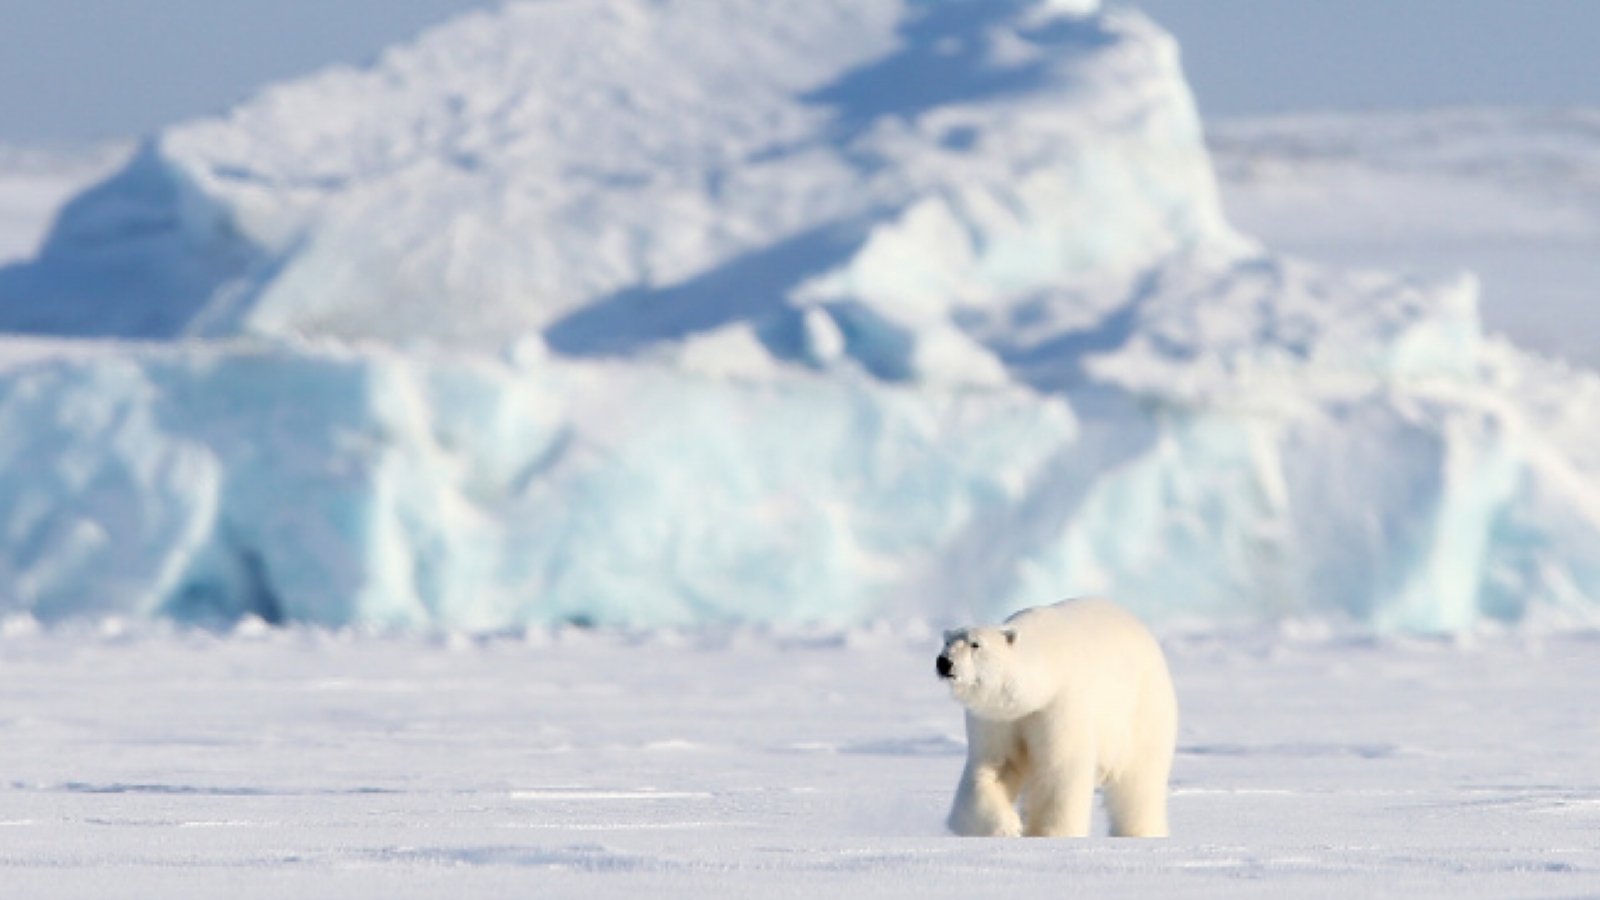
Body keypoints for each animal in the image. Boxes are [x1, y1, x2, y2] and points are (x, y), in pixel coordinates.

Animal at [934, 595, 1177, 832]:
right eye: (947, 642)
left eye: (976, 644)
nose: (944, 662)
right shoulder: (999, 718)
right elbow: (995, 766)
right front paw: (1008, 825)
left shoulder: (1060, 703)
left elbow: (1059, 770)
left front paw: (1051, 832)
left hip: (1143, 706)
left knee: (1139, 782)